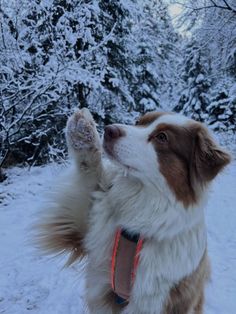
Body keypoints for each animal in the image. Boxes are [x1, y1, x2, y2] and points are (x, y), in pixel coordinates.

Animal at [38, 108, 230, 314]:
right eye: (139, 122)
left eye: (162, 137)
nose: (110, 130)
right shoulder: (83, 226)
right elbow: (87, 177)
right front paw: (82, 132)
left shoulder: (154, 300)